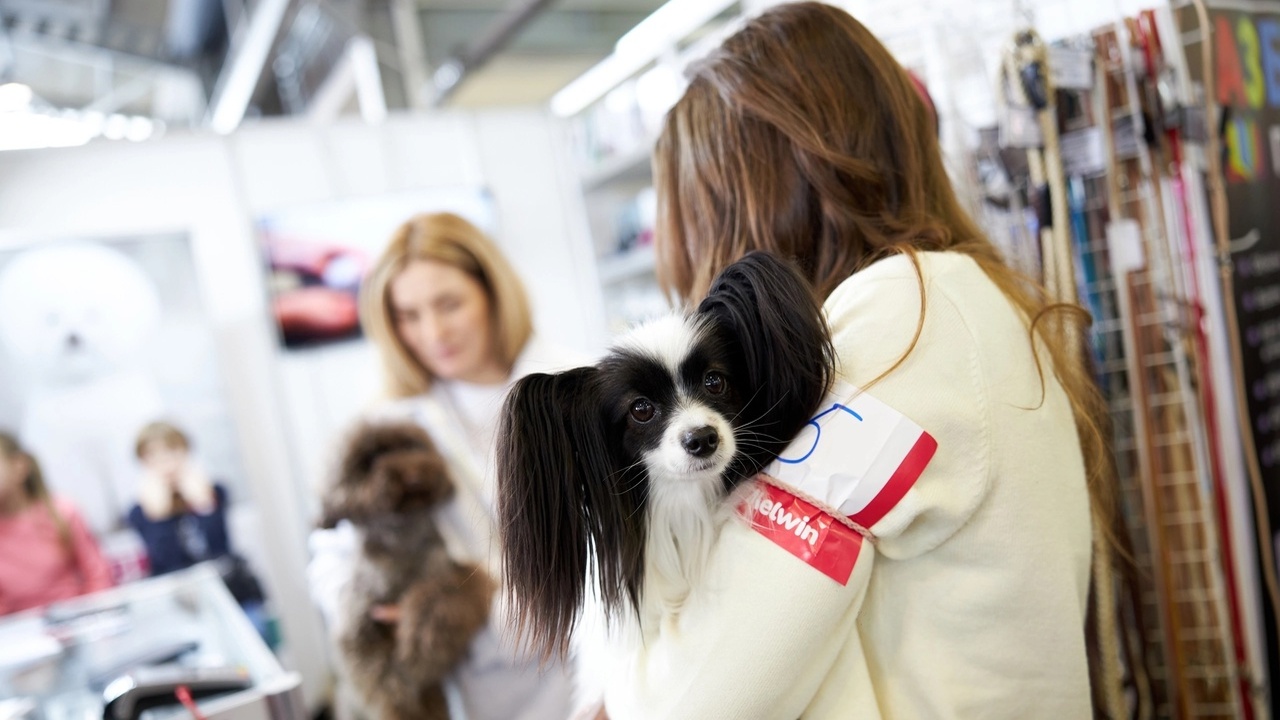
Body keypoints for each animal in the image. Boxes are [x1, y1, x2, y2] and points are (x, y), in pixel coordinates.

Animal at [320, 420, 494, 717]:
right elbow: (387, 683)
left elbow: (439, 601)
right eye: (370, 459)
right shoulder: (357, 631)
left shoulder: (458, 576)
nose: (414, 474)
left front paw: (419, 653)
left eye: (412, 446)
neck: (403, 545)